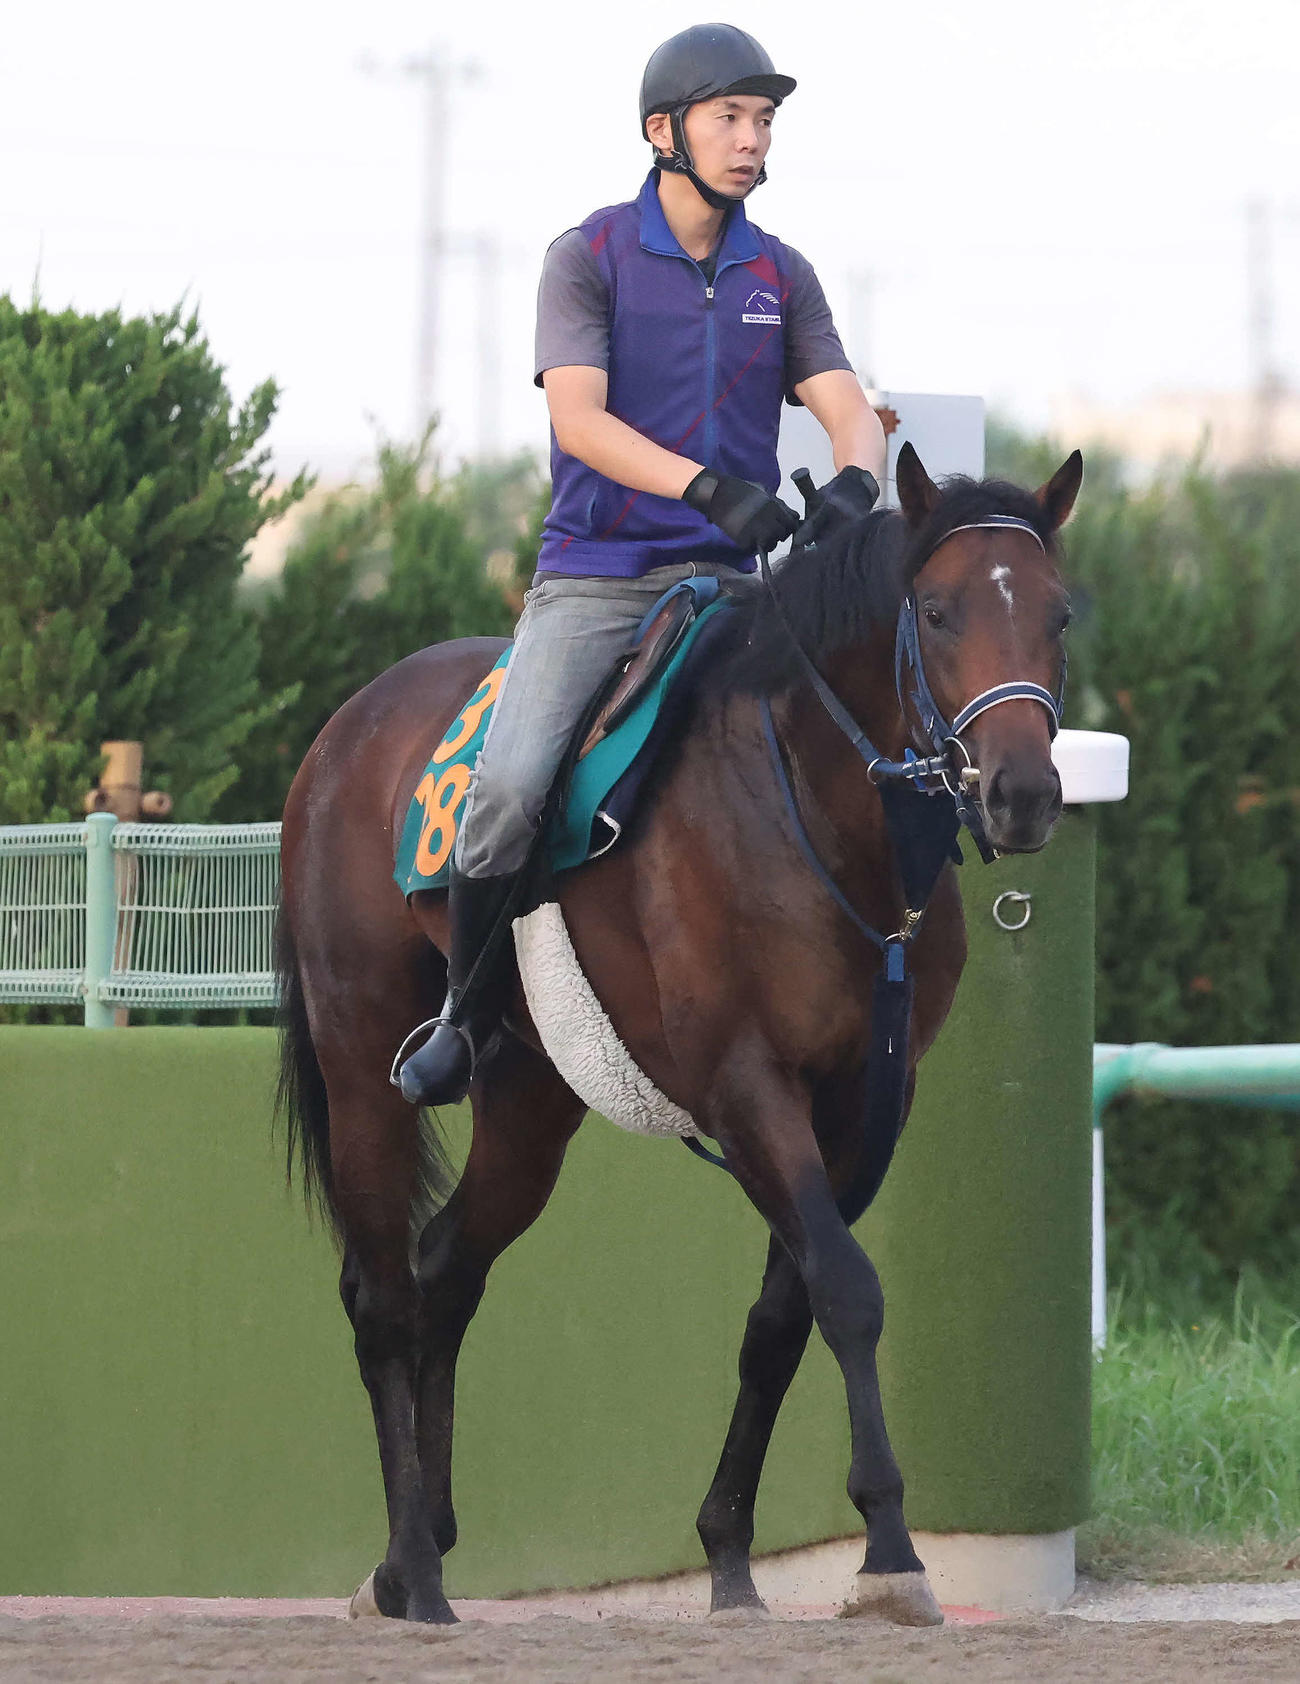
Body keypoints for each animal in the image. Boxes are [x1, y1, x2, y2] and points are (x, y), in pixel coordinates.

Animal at [276, 441, 1082, 1626]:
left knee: (445, 1268)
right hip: (361, 1059)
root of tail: (344, 730)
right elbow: (847, 1288)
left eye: (1058, 616)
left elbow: (784, 1313)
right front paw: (890, 1547)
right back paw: (415, 1570)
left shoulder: (861, 1105)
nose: (1022, 793)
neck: (816, 814)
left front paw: (731, 1551)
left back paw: (411, 1550)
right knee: (380, 1295)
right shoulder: (745, 1083)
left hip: (532, 1100)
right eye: (936, 611)